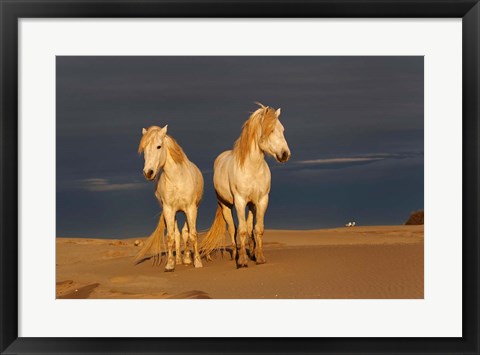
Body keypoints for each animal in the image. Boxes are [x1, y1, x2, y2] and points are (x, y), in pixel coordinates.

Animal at [134, 125, 203, 272]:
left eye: (159, 146)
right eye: (144, 148)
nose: (148, 173)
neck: (177, 179)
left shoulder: (191, 209)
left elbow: (192, 235)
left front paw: (197, 261)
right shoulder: (168, 210)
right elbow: (171, 236)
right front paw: (170, 264)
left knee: (186, 232)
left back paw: (187, 258)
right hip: (174, 213)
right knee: (177, 234)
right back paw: (179, 260)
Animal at [201, 104, 290, 268]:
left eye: (282, 129)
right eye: (271, 130)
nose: (285, 154)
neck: (252, 168)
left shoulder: (261, 201)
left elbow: (257, 229)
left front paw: (259, 257)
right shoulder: (240, 201)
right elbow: (241, 230)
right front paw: (242, 261)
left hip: (252, 205)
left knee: (250, 228)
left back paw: (252, 252)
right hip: (226, 206)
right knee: (233, 229)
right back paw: (235, 255)